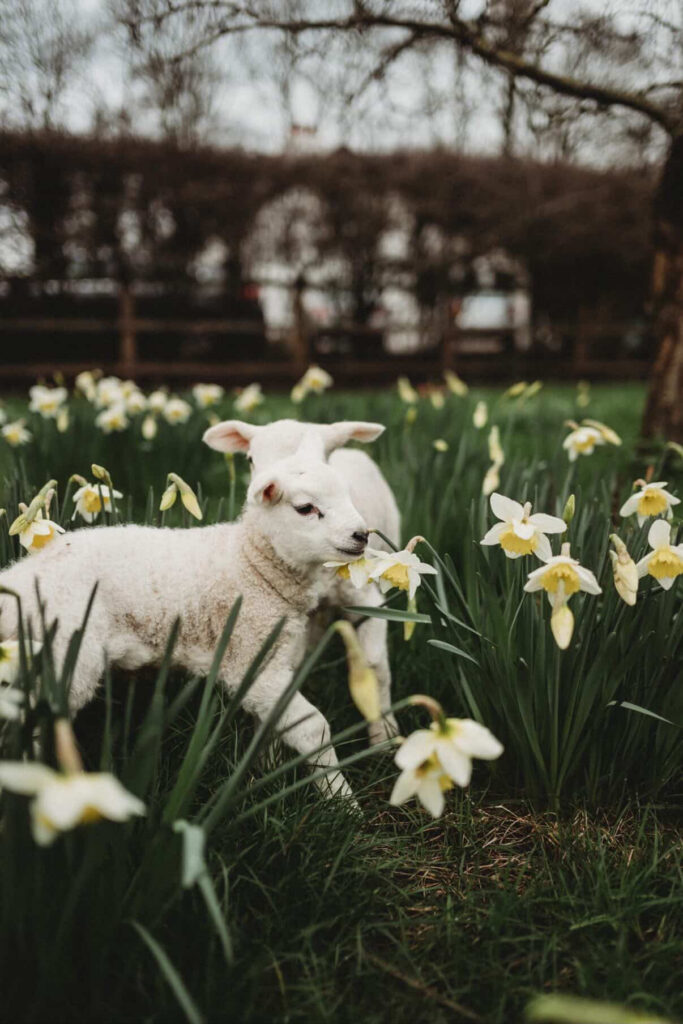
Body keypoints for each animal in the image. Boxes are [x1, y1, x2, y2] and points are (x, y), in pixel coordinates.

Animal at [0, 456, 373, 802]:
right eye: (305, 508)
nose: (362, 535)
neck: (252, 563)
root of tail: (15, 581)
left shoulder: (270, 661)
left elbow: (272, 725)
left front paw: (265, 773)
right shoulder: (250, 657)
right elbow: (313, 729)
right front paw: (343, 803)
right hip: (64, 656)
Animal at [202, 418, 401, 744]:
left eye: (322, 457)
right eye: (250, 459)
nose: (269, 495)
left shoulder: (366, 598)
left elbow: (374, 665)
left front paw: (384, 736)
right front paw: (267, 746)